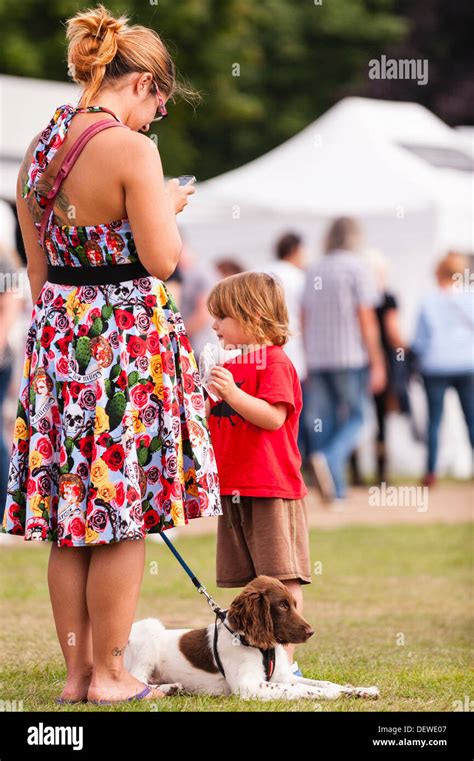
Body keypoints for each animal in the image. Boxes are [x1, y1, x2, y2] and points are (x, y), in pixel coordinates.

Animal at [124, 572, 380, 696]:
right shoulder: (249, 686)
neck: (259, 645)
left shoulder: (280, 677)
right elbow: (304, 689)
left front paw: (361, 690)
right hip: (149, 628)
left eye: (294, 604)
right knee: (138, 681)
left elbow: (323, 682)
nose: (311, 632)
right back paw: (167, 689)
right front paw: (335, 696)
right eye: (282, 606)